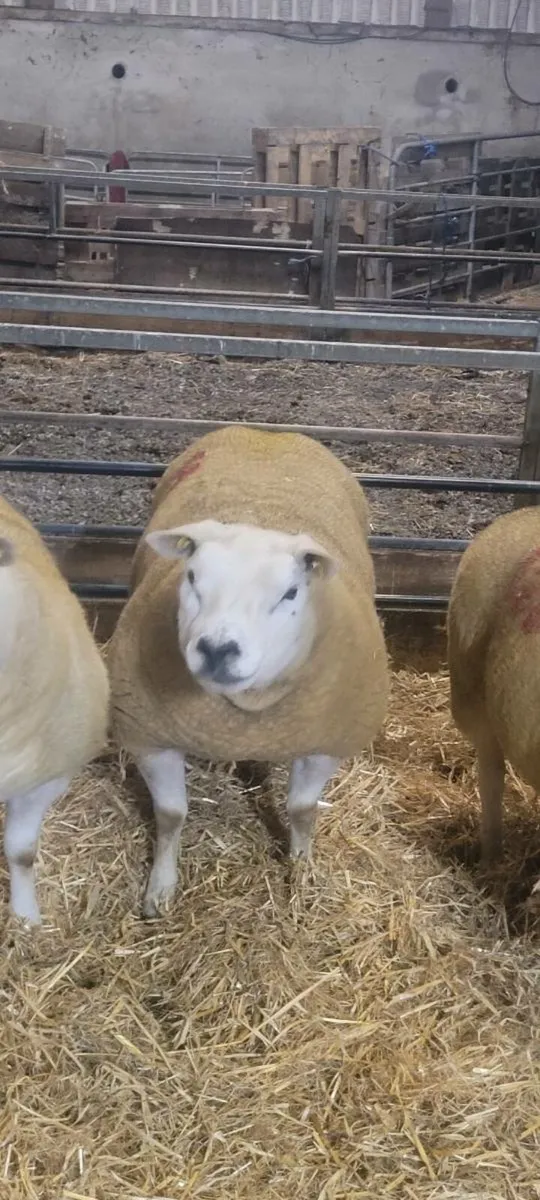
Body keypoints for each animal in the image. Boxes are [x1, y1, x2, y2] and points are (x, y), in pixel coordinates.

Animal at [108, 425, 389, 916]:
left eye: (290, 593)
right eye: (192, 578)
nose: (217, 649)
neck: (243, 717)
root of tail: (267, 434)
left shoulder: (326, 743)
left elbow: (302, 810)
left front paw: (301, 873)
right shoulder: (148, 735)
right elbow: (171, 816)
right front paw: (160, 889)